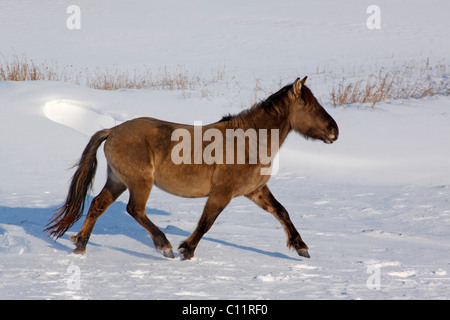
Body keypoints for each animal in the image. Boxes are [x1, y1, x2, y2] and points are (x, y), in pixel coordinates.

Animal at [46, 77, 342, 260]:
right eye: (311, 106)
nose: (335, 131)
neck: (248, 140)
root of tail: (113, 131)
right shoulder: (222, 193)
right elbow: (206, 222)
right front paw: (186, 250)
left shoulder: (255, 190)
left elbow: (281, 211)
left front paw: (301, 247)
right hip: (140, 182)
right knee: (135, 209)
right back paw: (164, 245)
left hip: (118, 180)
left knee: (97, 205)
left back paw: (81, 244)